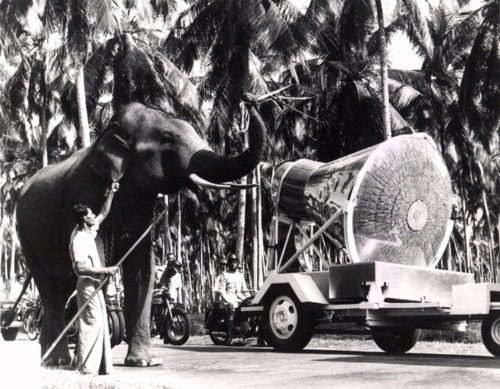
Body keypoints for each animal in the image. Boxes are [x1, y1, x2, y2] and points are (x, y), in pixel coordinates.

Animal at [15, 93, 268, 364]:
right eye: (166, 139)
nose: (249, 99)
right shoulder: (85, 194)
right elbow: (100, 262)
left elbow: (143, 269)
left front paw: (146, 362)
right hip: (26, 237)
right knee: (50, 290)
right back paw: (59, 360)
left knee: (62, 289)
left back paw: (49, 358)